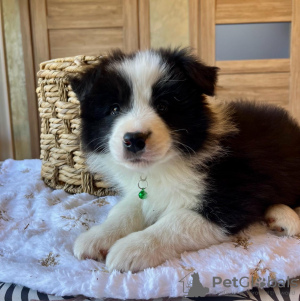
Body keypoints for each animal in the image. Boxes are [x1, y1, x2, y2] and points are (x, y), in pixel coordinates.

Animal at [69, 48, 300, 272]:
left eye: (163, 106)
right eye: (114, 109)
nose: (134, 139)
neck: (166, 164)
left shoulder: (229, 197)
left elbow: (176, 222)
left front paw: (131, 248)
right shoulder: (145, 192)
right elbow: (125, 210)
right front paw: (97, 236)